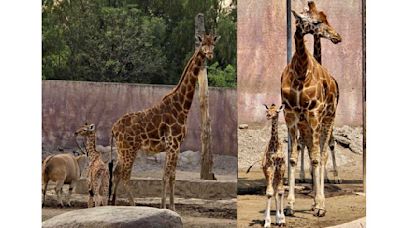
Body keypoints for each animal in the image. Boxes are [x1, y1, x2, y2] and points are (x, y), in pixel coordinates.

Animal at [109, 33, 220, 210]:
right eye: (203, 43)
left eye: (213, 44)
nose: (209, 54)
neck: (182, 106)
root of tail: (113, 128)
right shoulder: (174, 144)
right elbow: (170, 176)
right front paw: (170, 208)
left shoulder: (172, 146)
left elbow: (167, 176)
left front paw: (166, 206)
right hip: (129, 149)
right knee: (125, 176)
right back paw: (133, 206)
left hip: (121, 150)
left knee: (117, 173)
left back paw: (112, 205)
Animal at [282, 0, 340, 217]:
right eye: (315, 22)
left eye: (325, 19)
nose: (337, 37)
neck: (300, 72)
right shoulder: (290, 114)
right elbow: (292, 157)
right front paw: (289, 205)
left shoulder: (314, 113)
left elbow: (316, 158)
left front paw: (320, 205)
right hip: (306, 124)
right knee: (310, 150)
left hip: (328, 119)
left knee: (322, 154)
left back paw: (320, 200)